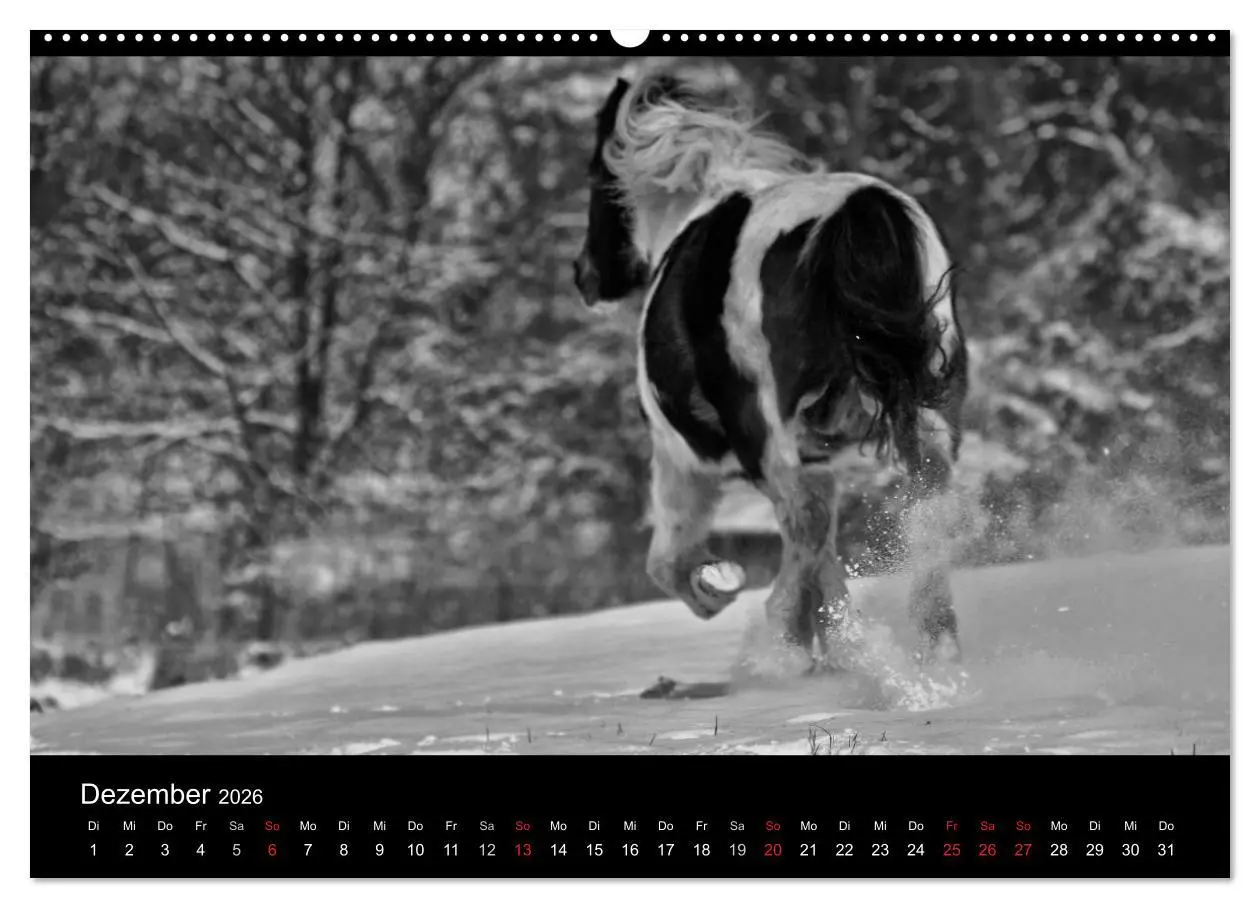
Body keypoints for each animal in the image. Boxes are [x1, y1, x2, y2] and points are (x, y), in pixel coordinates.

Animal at [572, 71, 969, 669]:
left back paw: (779, 649)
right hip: (921, 420)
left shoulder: (679, 457)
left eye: (597, 178)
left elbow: (669, 561)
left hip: (771, 438)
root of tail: (861, 213)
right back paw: (933, 644)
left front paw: (719, 586)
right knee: (926, 503)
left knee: (804, 525)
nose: (584, 275)